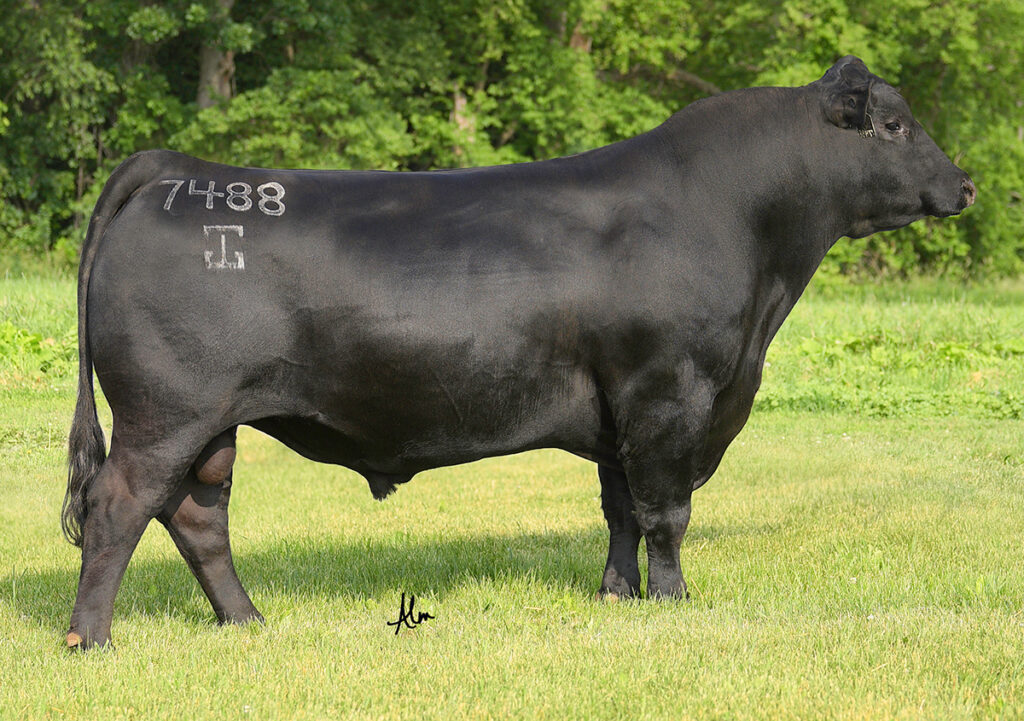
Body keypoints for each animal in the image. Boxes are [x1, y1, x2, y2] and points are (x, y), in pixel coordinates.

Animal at [62, 56, 975, 649]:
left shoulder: (619, 411)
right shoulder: (668, 393)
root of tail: (177, 168)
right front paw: (675, 602)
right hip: (165, 411)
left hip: (210, 422)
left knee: (197, 515)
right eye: (894, 125)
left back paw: (246, 622)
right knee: (118, 505)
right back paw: (91, 638)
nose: (965, 183)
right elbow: (667, 513)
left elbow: (620, 511)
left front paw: (616, 597)